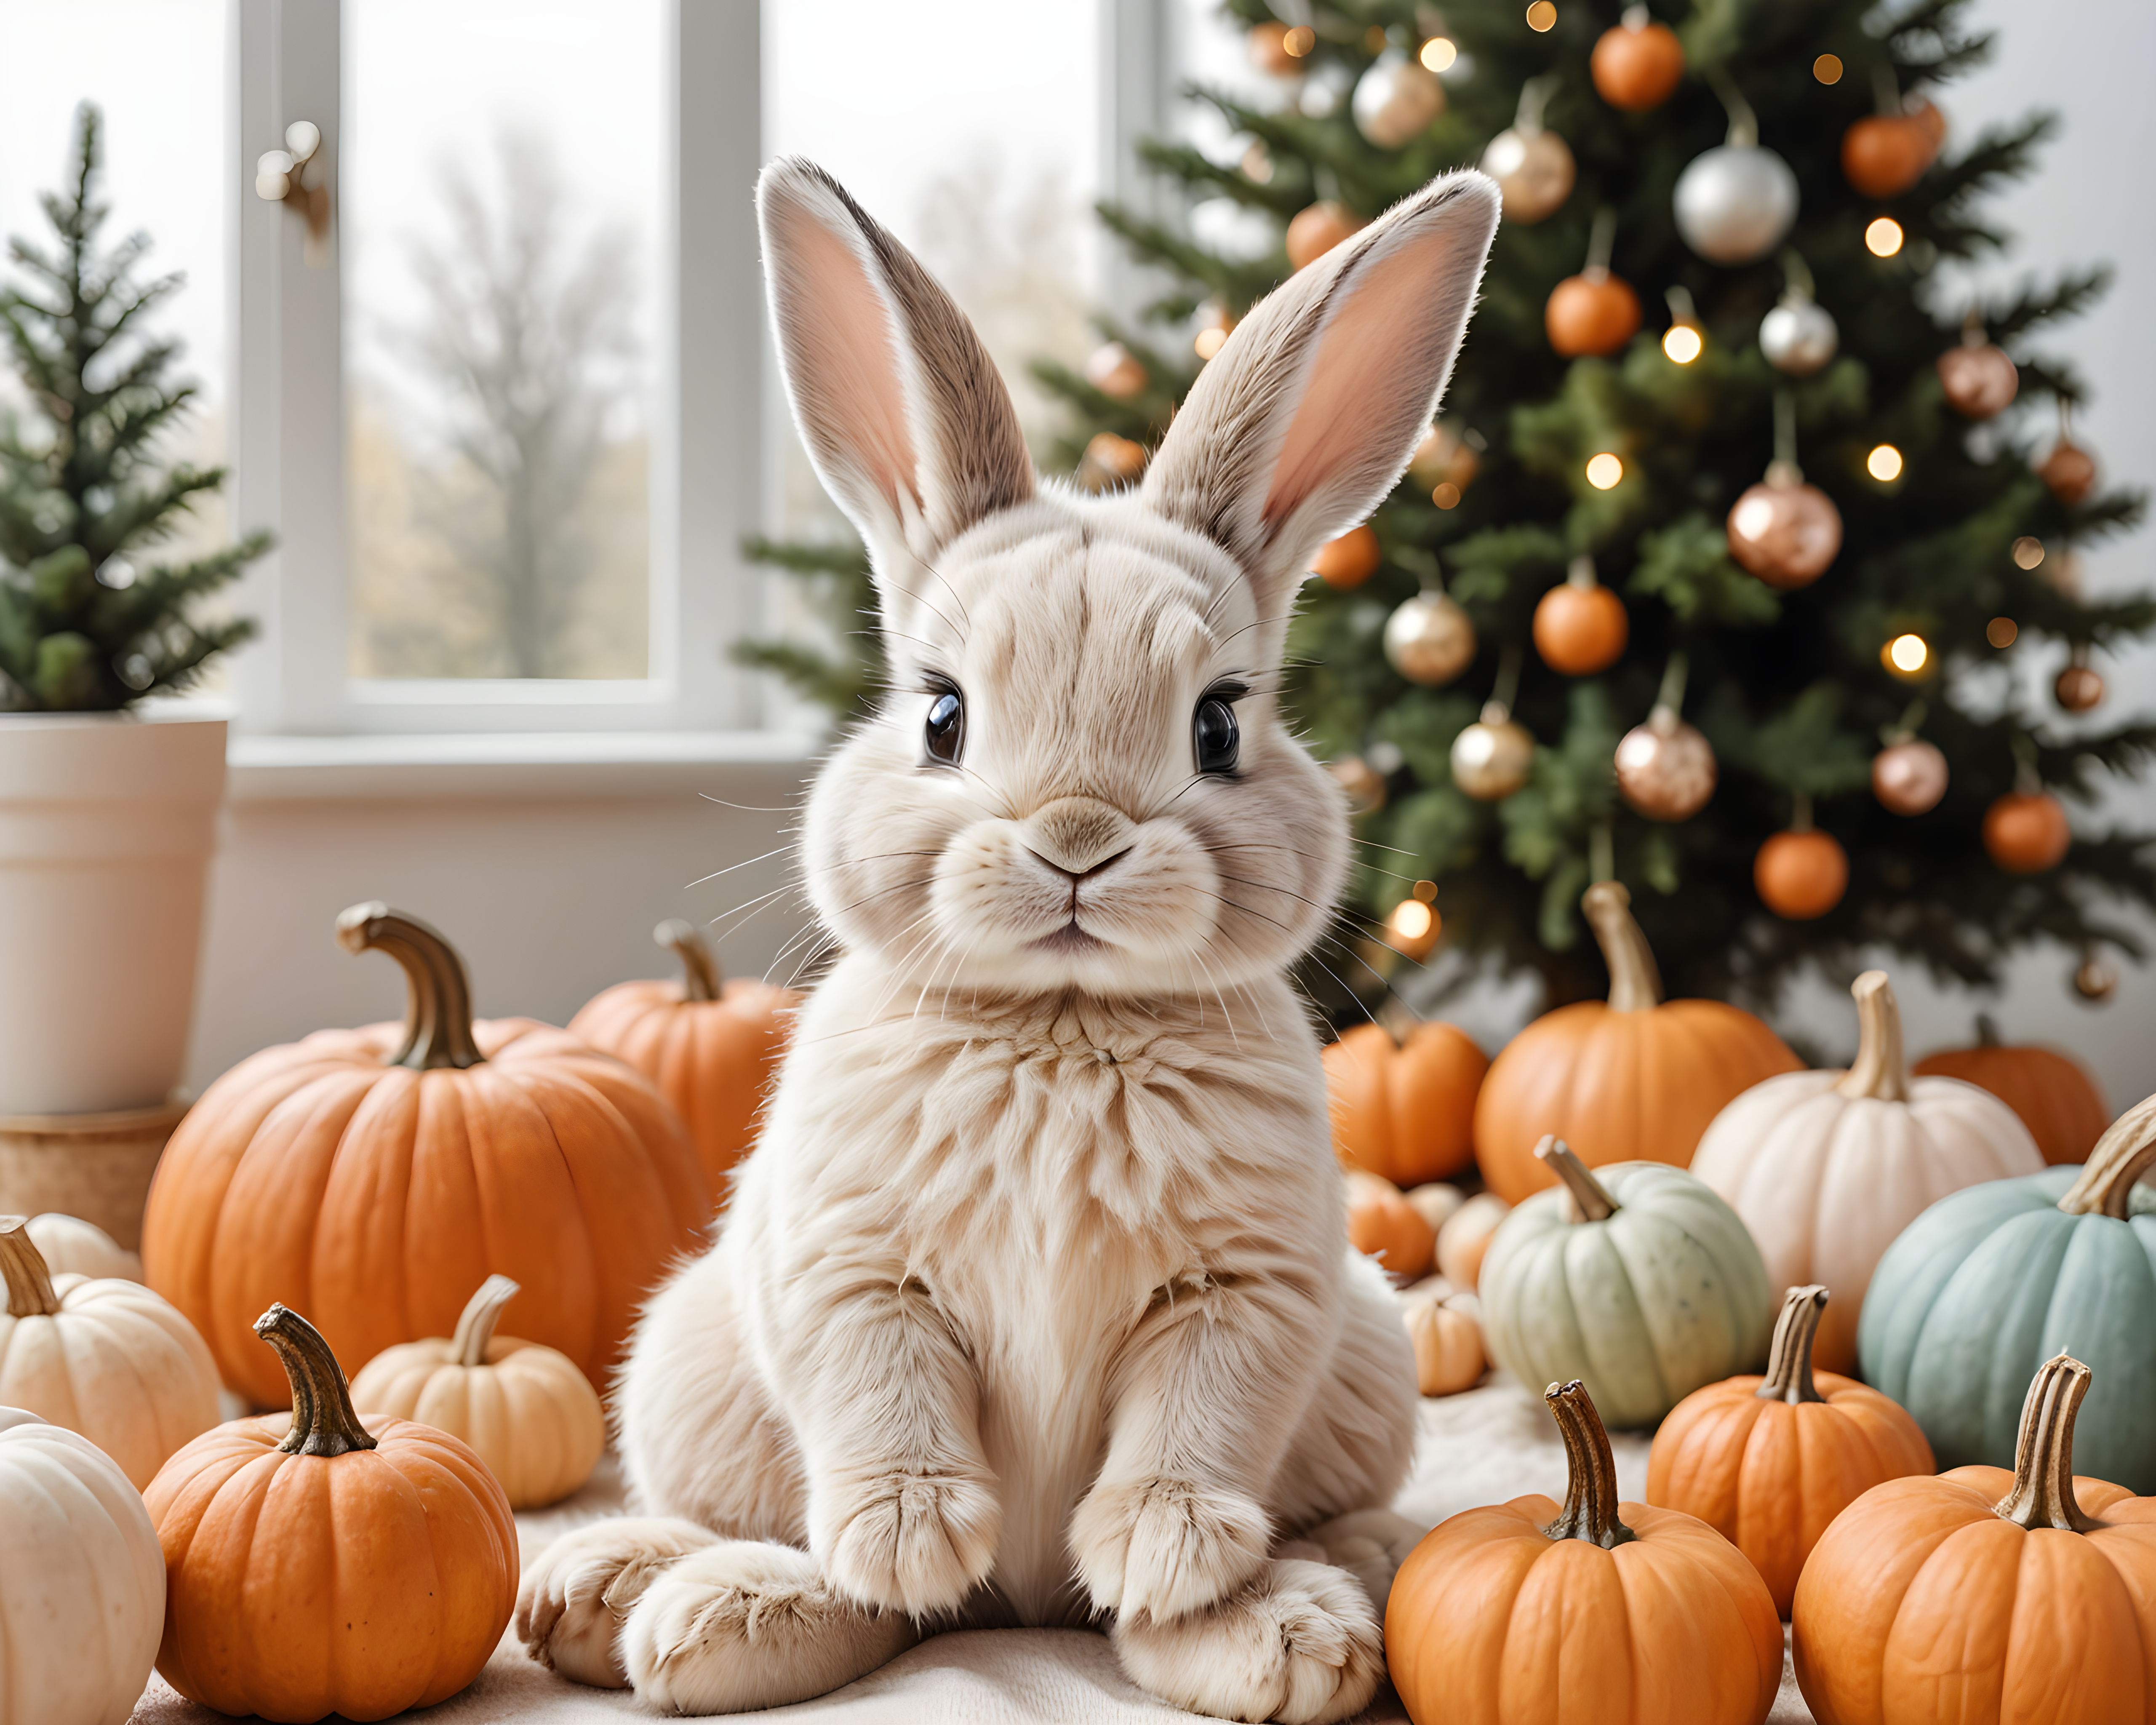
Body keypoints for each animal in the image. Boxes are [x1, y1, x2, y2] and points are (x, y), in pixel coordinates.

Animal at [516, 155, 1499, 1723]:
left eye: (1218, 724)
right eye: (940, 714)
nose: (1077, 840)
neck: (1060, 1020)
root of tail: (1025, 1608)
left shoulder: (1245, 1294)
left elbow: (1193, 1426)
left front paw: (1163, 1554)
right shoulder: (853, 1276)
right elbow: (881, 1402)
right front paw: (907, 1536)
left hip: (1369, 1354)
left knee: (1232, 1556)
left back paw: (1292, 1618)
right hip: (687, 1362)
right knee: (872, 1597)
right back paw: (662, 1601)